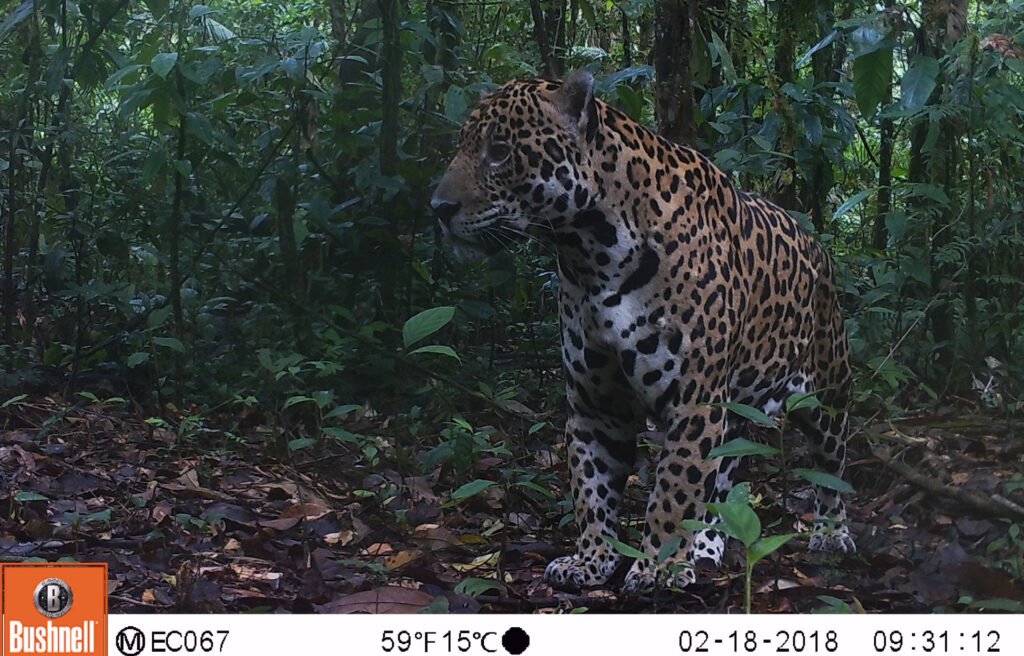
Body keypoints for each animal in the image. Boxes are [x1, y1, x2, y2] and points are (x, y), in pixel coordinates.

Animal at [431, 71, 856, 594]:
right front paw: (591, 561)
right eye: (465, 145)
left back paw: (831, 534)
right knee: (721, 477)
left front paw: (656, 567)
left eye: (500, 150)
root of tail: (817, 245)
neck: (592, 252)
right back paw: (707, 548)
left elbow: (673, 489)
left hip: (827, 392)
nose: (439, 207)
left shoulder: (693, 403)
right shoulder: (596, 404)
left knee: (831, 467)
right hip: (734, 410)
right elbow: (592, 489)